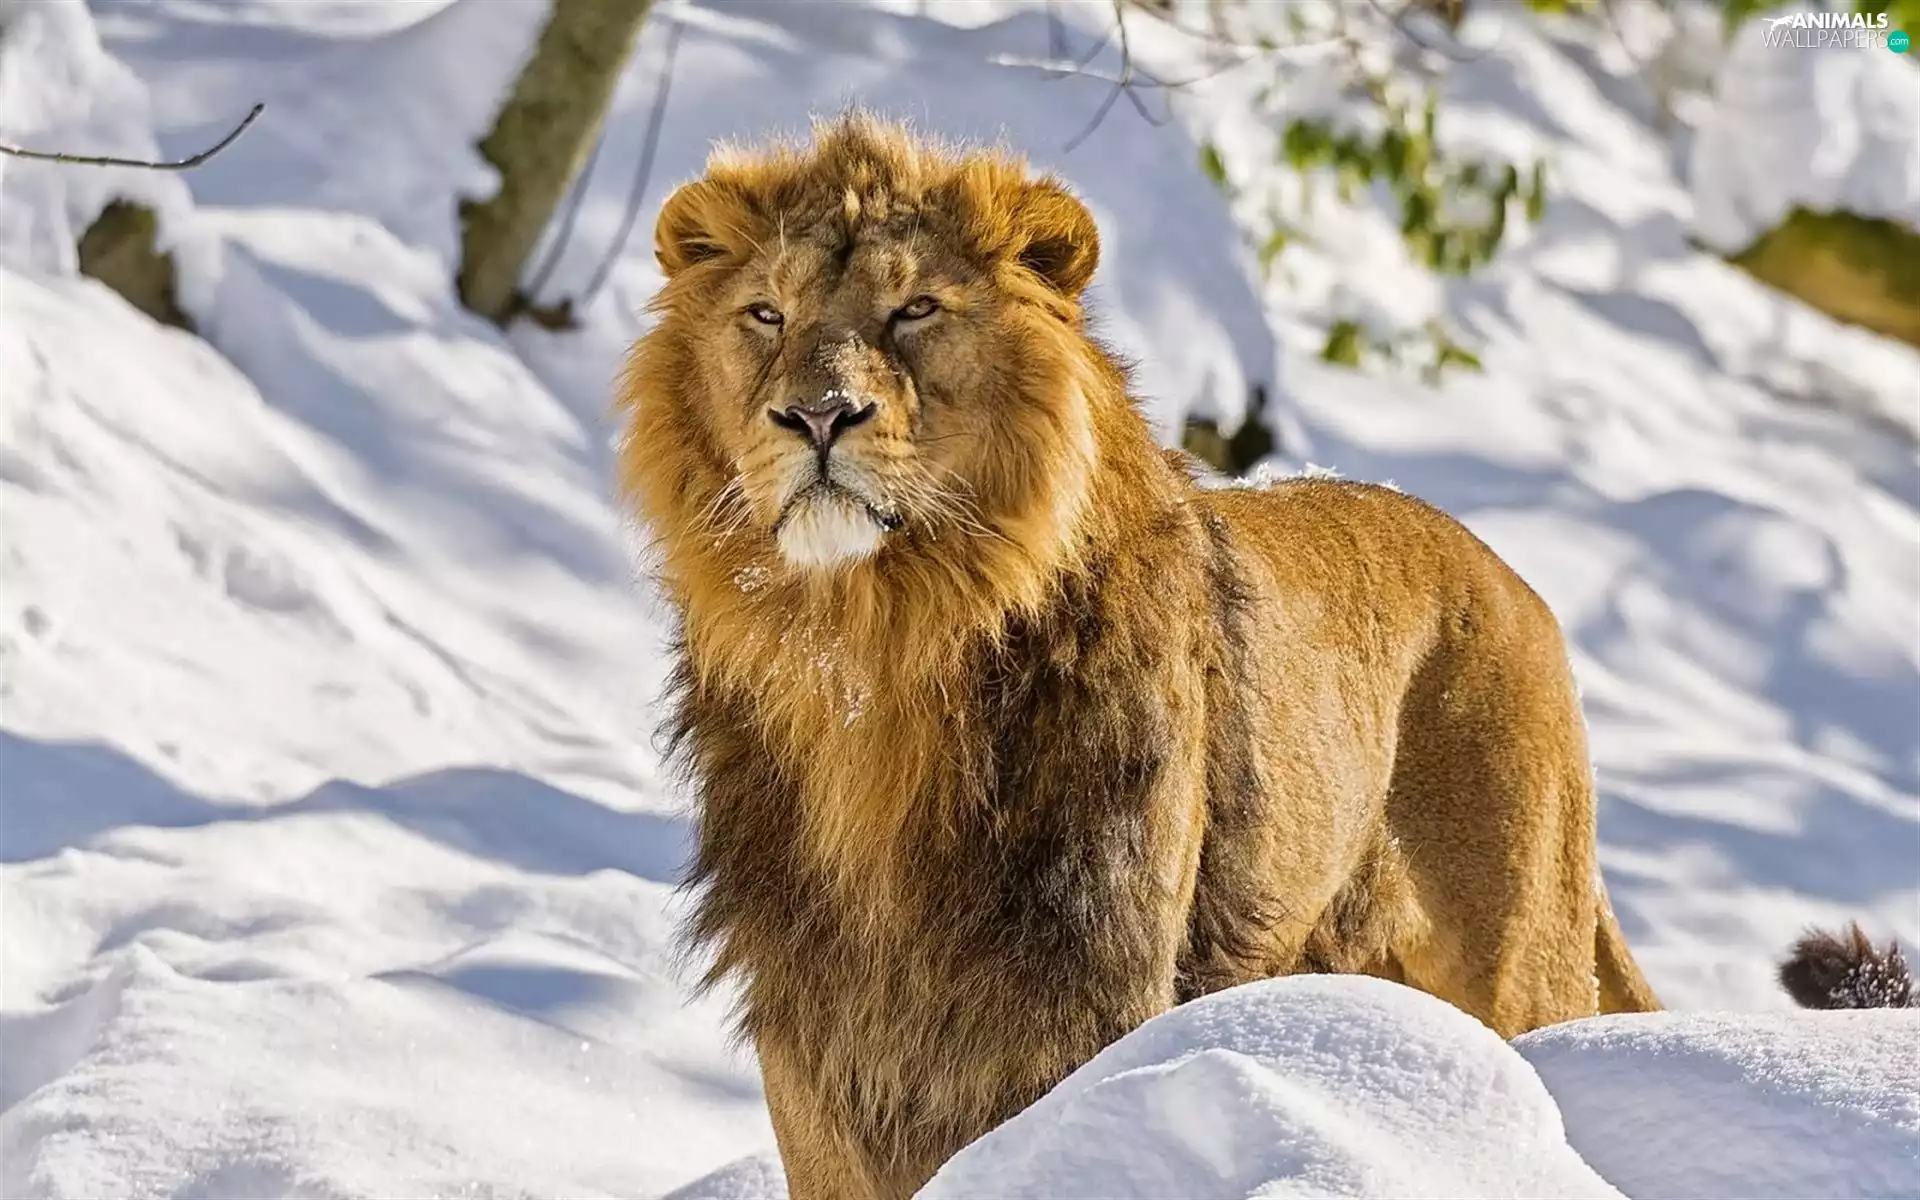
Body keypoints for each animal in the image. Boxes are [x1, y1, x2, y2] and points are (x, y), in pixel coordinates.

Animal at [615, 115, 1876, 1200]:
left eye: (916, 308)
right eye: (766, 314)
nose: (817, 417)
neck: (873, 654)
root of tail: (1517, 586)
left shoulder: (1084, 986)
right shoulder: (818, 1028)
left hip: (1521, 956)